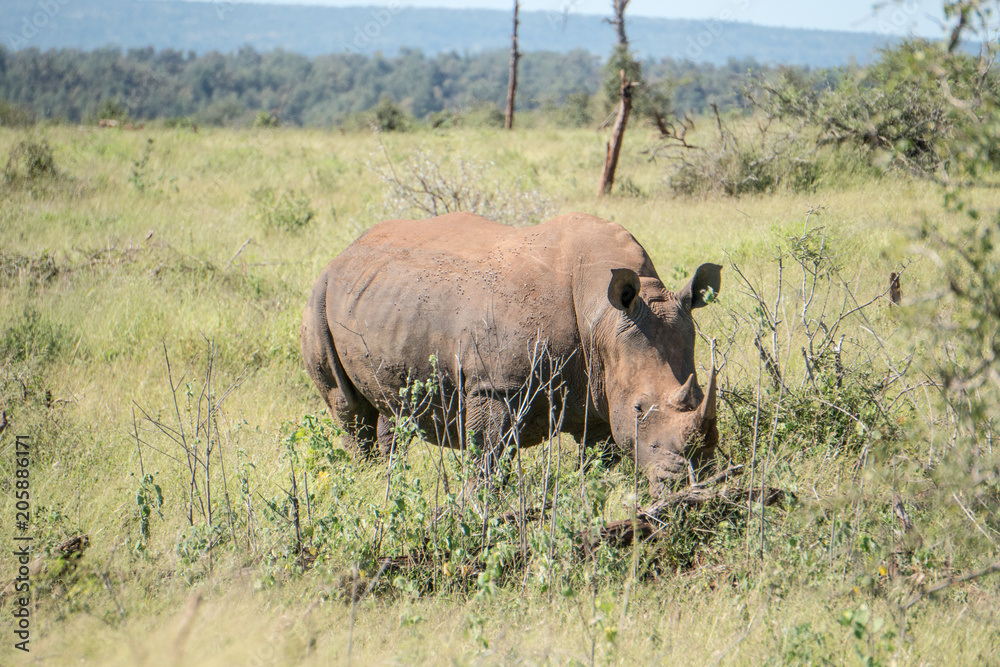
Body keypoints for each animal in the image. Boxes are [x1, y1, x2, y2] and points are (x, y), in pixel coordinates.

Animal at [301, 212, 721, 495]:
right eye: (638, 409)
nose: (691, 479)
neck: (602, 317)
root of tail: (345, 252)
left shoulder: (599, 391)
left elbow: (600, 456)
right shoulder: (497, 385)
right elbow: (486, 456)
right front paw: (477, 509)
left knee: (393, 407)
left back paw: (391, 481)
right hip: (319, 295)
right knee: (349, 410)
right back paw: (367, 479)